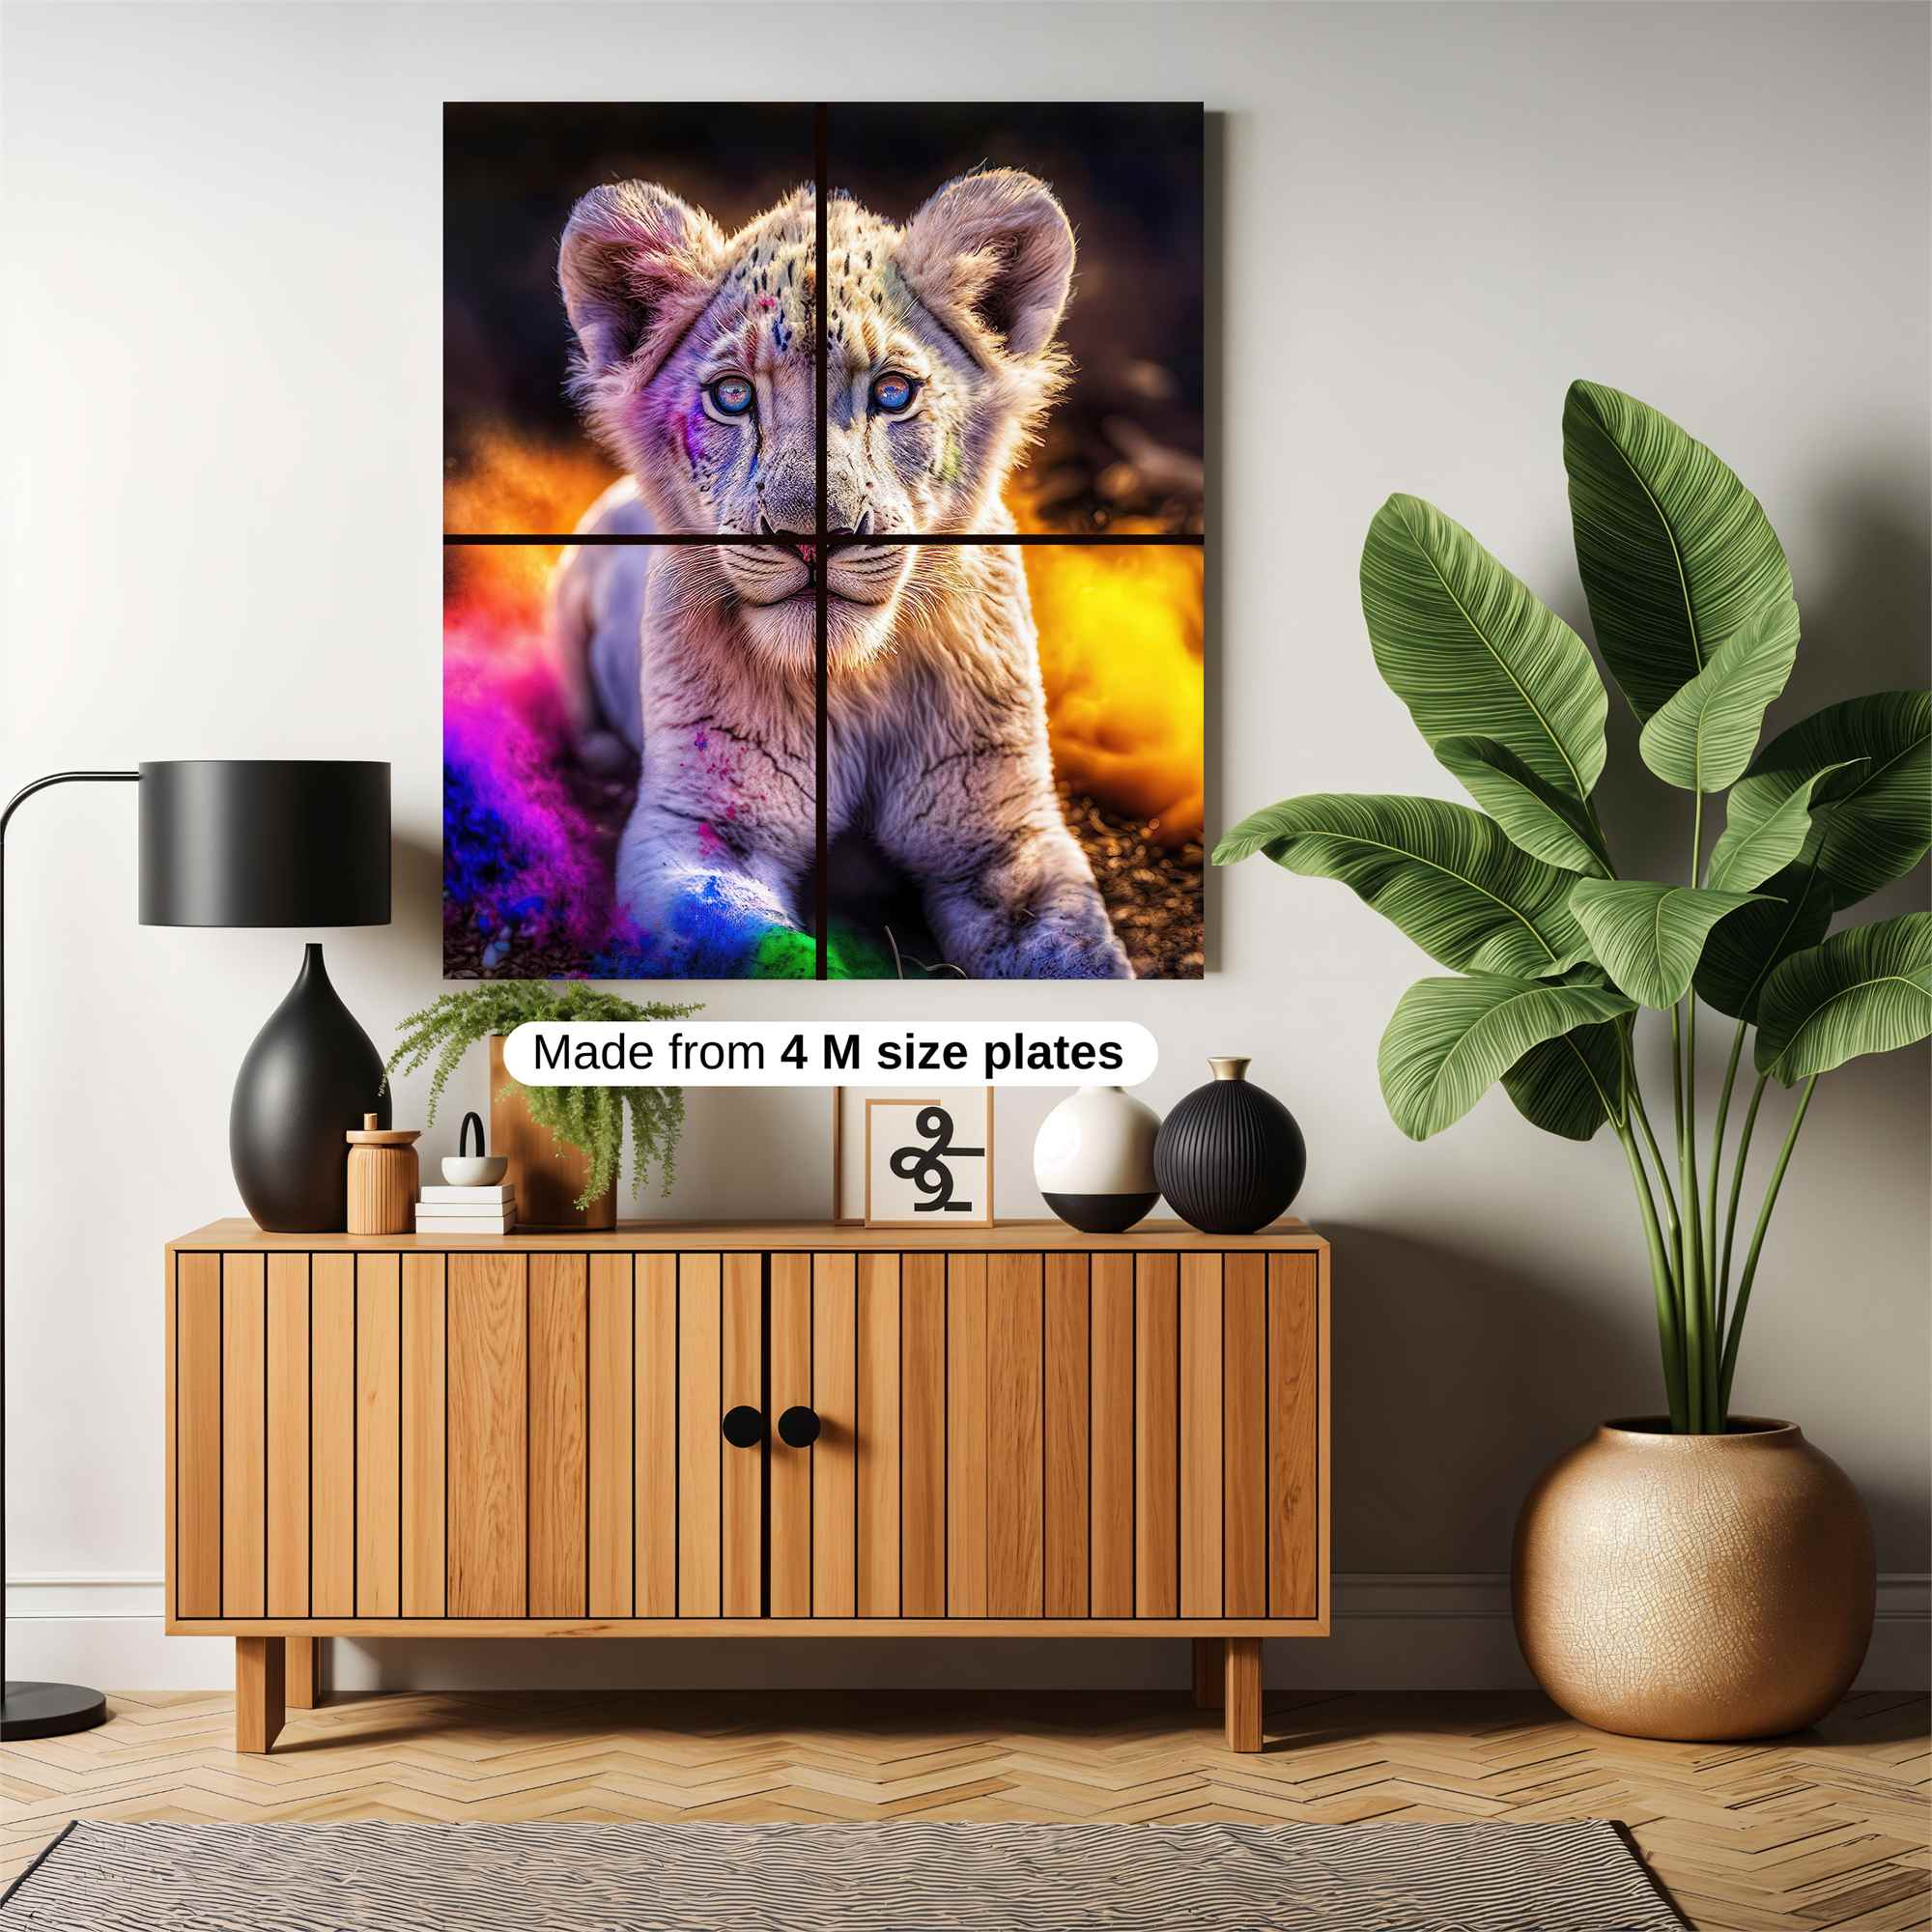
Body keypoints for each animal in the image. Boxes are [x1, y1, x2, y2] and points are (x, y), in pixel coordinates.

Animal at [548, 171, 1131, 978]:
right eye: (732, 396)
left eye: (893, 393)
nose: (811, 540)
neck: (853, 681)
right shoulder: (698, 829)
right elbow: (764, 950)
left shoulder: (1002, 839)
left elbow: (1074, 957)